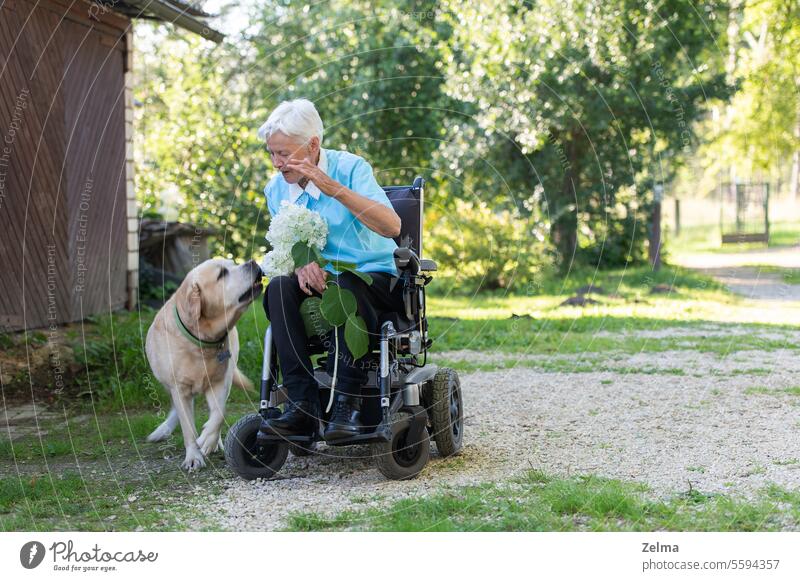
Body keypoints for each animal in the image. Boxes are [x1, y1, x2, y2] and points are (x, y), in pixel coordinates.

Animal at [145, 258, 264, 472]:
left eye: (232, 263)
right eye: (222, 273)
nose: (252, 261)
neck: (201, 343)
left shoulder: (220, 382)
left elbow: (219, 413)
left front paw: (208, 439)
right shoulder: (179, 388)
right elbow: (187, 428)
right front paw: (193, 456)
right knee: (177, 412)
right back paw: (163, 430)